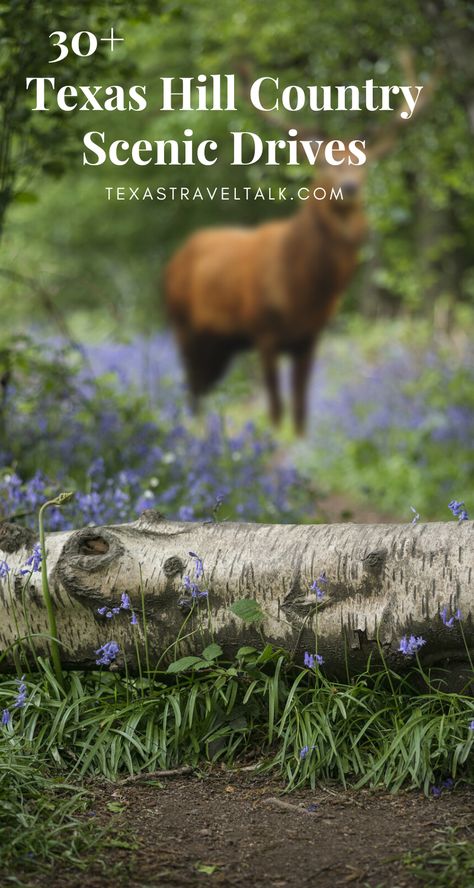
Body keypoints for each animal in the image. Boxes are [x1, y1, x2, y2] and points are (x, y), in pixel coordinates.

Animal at [165, 52, 436, 434]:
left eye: (364, 164)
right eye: (325, 164)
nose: (349, 187)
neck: (301, 290)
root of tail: (175, 257)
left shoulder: (309, 336)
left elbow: (301, 410)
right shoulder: (263, 330)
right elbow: (277, 410)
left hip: (221, 343)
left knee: (203, 387)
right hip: (184, 325)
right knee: (193, 390)